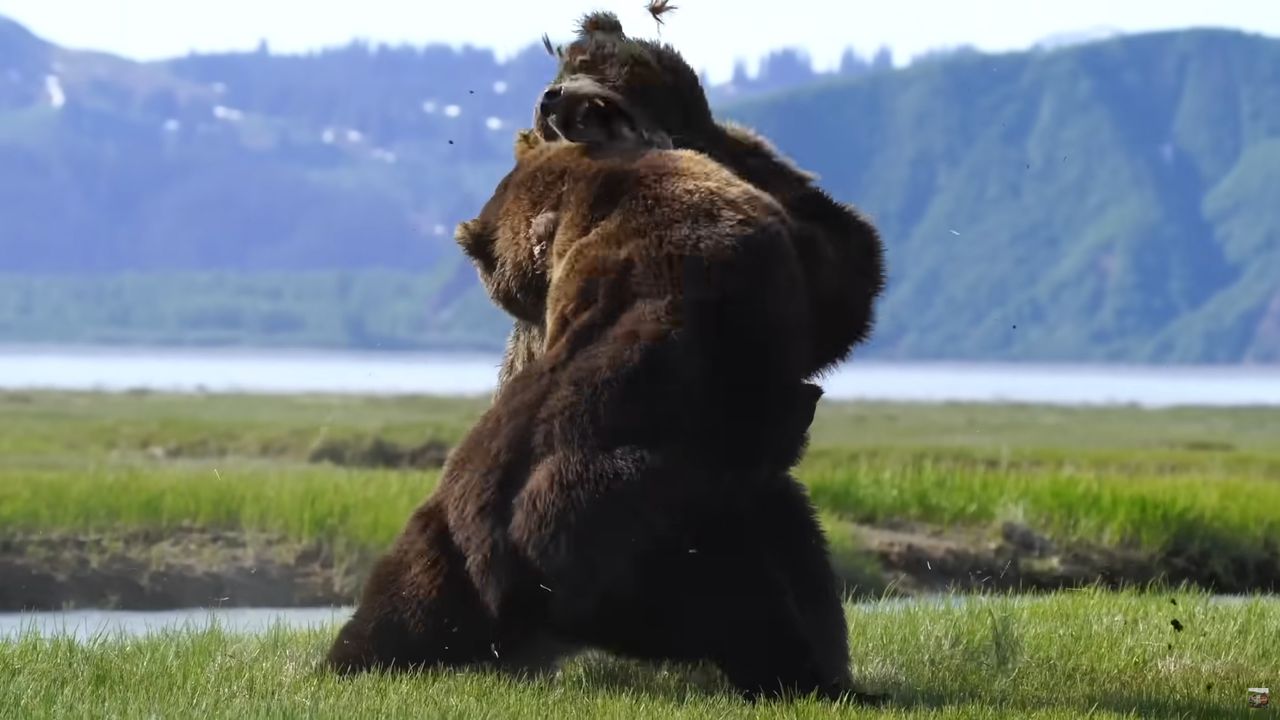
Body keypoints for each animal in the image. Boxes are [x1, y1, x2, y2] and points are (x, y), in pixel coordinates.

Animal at [325, 113, 875, 702]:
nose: (472, 241)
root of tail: (506, 566)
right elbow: (842, 281)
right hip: (655, 534)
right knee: (751, 595)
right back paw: (813, 675)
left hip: (450, 538)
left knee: (402, 606)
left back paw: (352, 658)